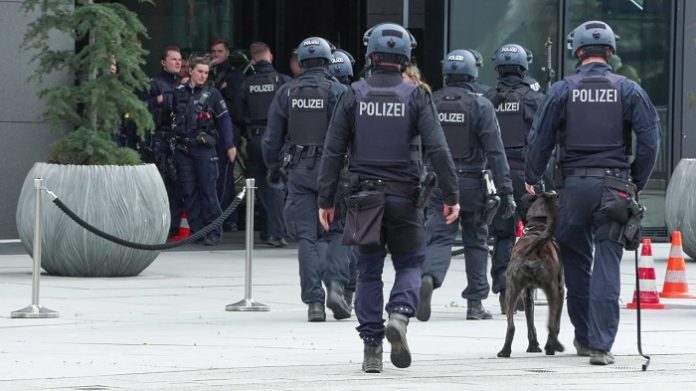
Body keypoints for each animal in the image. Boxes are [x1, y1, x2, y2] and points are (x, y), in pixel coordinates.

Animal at [494, 191, 564, 360]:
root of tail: (534, 247)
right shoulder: (560, 289)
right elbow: (556, 321)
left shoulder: (527, 293)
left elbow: (530, 322)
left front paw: (533, 346)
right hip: (552, 289)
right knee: (552, 324)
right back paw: (553, 346)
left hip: (512, 289)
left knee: (511, 326)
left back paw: (505, 351)